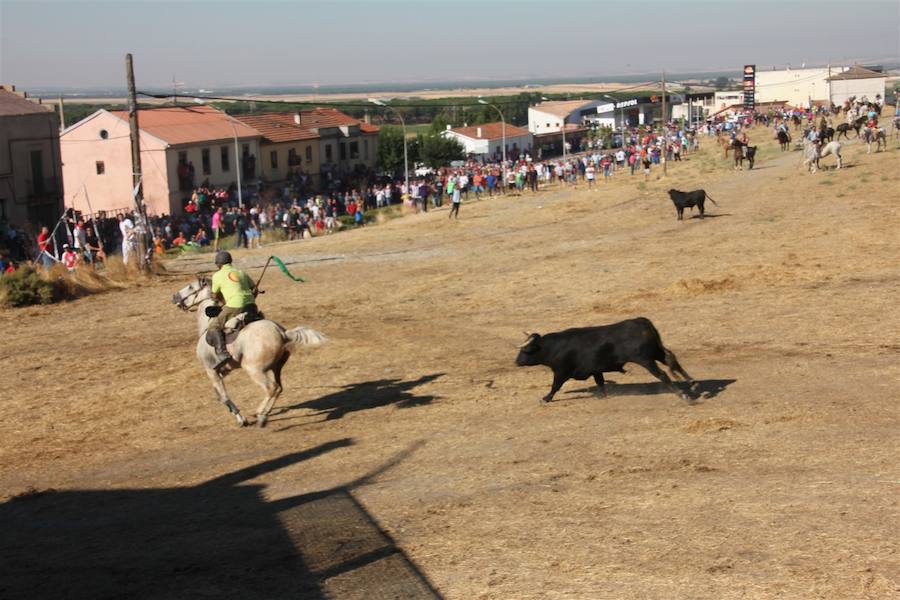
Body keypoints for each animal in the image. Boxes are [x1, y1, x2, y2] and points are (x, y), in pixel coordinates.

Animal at [171, 276, 326, 426]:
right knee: (278, 388)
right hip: (275, 368)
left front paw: (241, 419)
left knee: (271, 388)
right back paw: (263, 413)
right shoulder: (222, 371)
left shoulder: (211, 371)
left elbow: (224, 397)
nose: (174, 297)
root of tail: (282, 333)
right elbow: (220, 396)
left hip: (253, 369)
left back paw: (261, 415)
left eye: (190, 287)